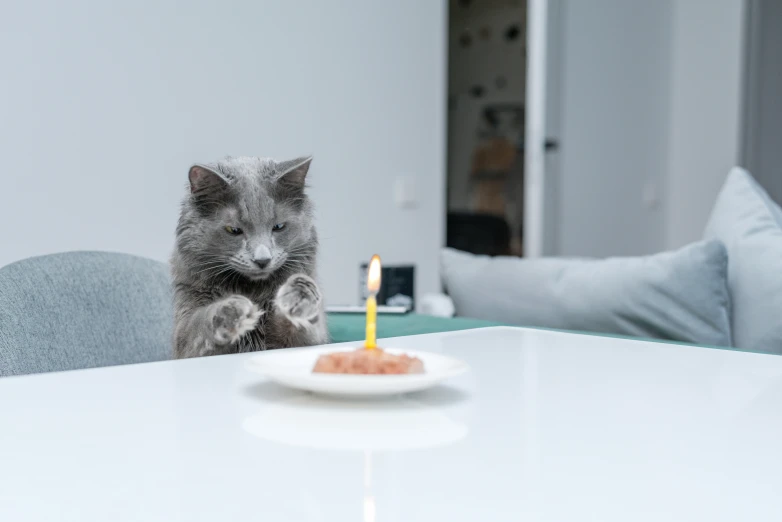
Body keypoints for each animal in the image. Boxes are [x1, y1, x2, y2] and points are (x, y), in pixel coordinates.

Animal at [170, 154, 330, 358]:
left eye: (278, 227)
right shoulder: (185, 333)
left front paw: (298, 296)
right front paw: (233, 311)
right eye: (234, 230)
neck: (253, 291)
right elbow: (199, 323)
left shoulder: (310, 339)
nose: (262, 260)